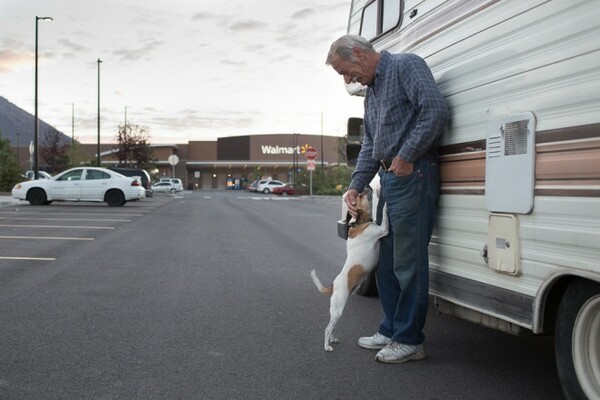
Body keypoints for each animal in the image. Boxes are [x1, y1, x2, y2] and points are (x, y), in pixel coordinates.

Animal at [310, 183, 390, 352]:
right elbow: (385, 217)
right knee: (327, 329)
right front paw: (386, 204)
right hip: (338, 309)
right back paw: (327, 346)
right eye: (360, 195)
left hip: (337, 312)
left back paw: (333, 339)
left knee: (332, 327)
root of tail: (333, 286)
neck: (361, 222)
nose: (367, 185)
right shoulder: (382, 229)